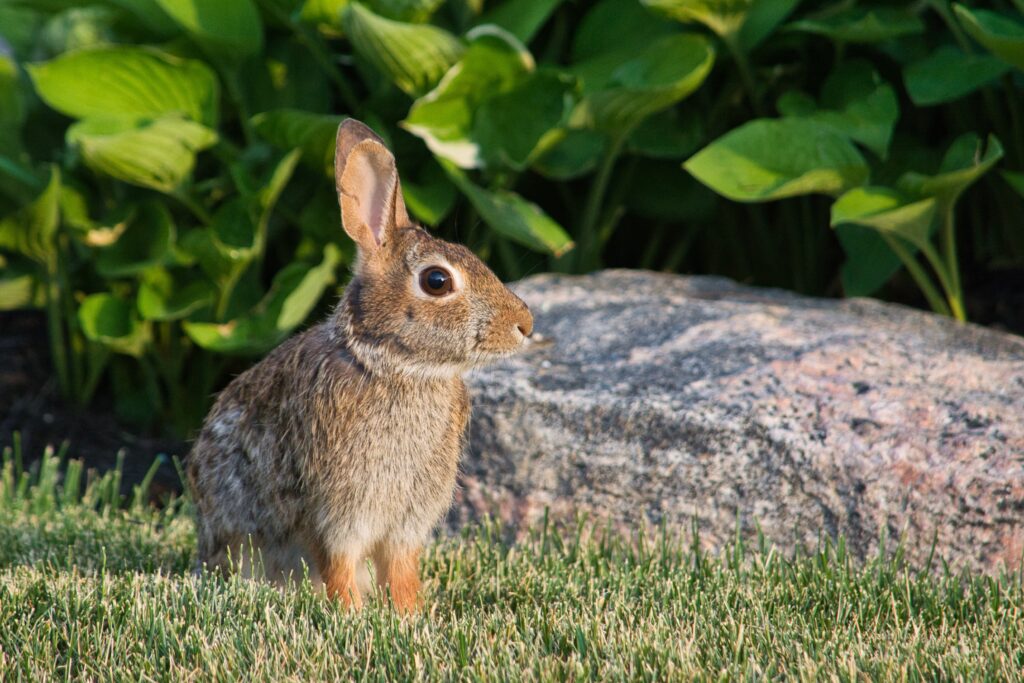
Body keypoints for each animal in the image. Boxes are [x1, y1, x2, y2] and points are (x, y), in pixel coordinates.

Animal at [186, 119, 533, 612]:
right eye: (437, 280)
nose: (525, 324)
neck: (394, 365)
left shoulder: (407, 522)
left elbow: (401, 569)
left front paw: (409, 613)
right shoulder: (336, 512)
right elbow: (338, 564)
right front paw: (350, 612)